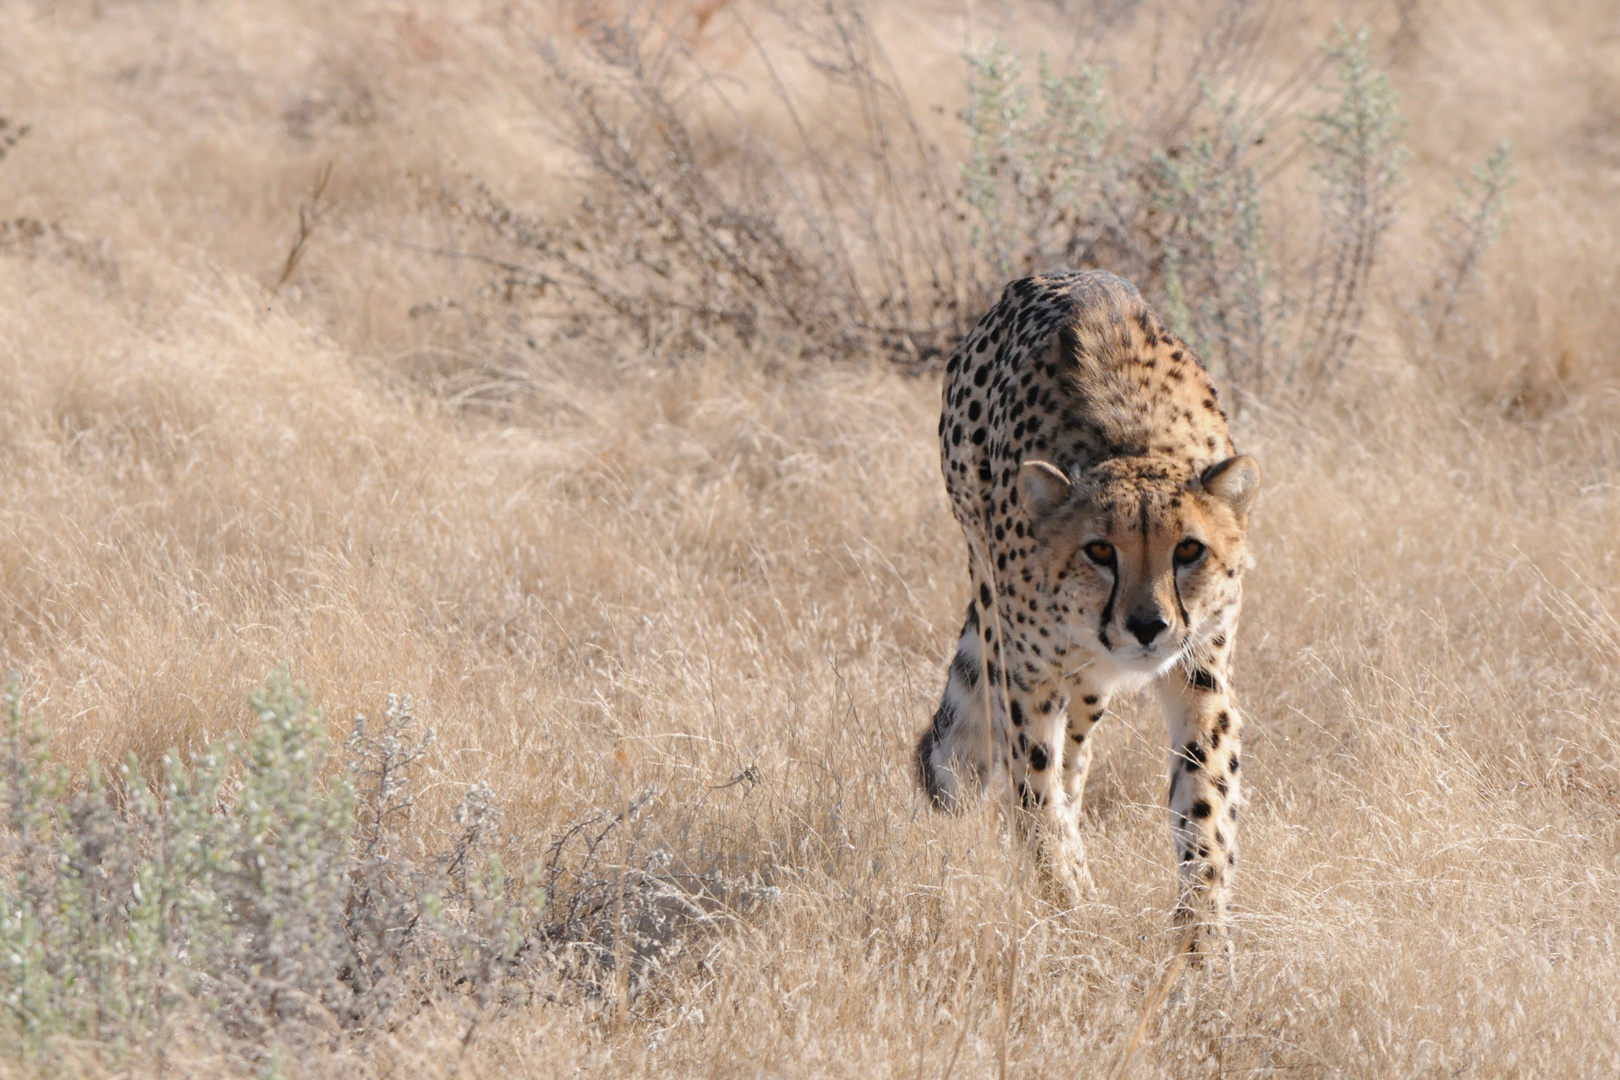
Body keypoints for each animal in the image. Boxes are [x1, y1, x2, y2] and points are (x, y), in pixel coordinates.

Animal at [920, 268, 1257, 952]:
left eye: (1189, 549)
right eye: (1100, 550)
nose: (1148, 627)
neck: (1132, 443)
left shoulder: (1200, 670)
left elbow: (1206, 805)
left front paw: (1203, 943)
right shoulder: (1029, 677)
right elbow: (1034, 791)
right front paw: (1063, 903)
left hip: (1091, 682)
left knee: (1075, 760)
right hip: (988, 587)